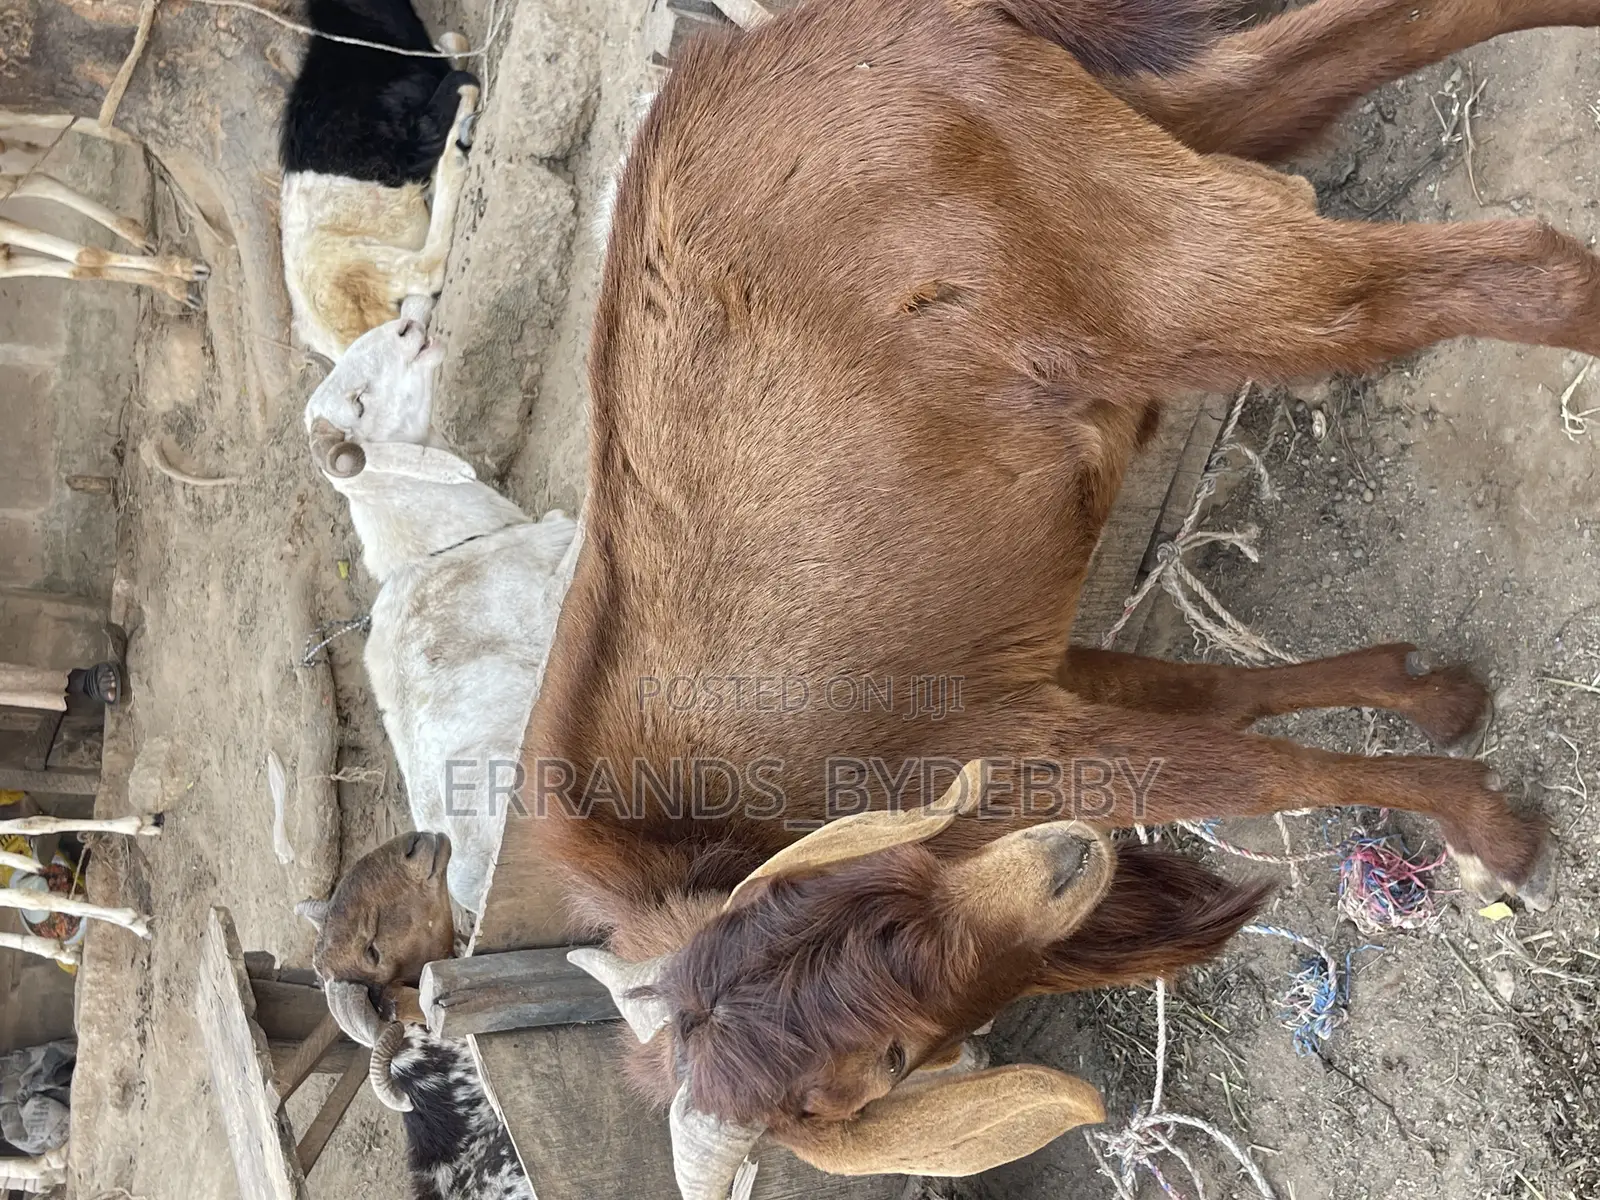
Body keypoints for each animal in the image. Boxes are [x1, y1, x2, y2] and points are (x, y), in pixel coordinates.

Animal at [1, 117, 208, 305]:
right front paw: (178, 285)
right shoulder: (5, 262)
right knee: (34, 180)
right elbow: (82, 265)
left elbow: (85, 258)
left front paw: (183, 270)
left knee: (34, 178)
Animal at [279, 0, 481, 361]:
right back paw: (453, 158)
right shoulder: (411, 134)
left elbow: (452, 44)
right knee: (429, 267)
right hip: (357, 261)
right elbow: (455, 73)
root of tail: (349, 342)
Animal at [502, 0, 1599, 1193]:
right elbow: (1227, 698)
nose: (1068, 864)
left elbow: (1262, 769)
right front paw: (1427, 691)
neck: (712, 834)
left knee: (1503, 273)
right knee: (1348, 54)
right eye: (888, 1064)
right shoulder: (1044, 679)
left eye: (869, 911)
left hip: (1159, 278)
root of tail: (742, 56)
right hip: (1119, 140)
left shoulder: (1021, 750)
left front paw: (1490, 828)